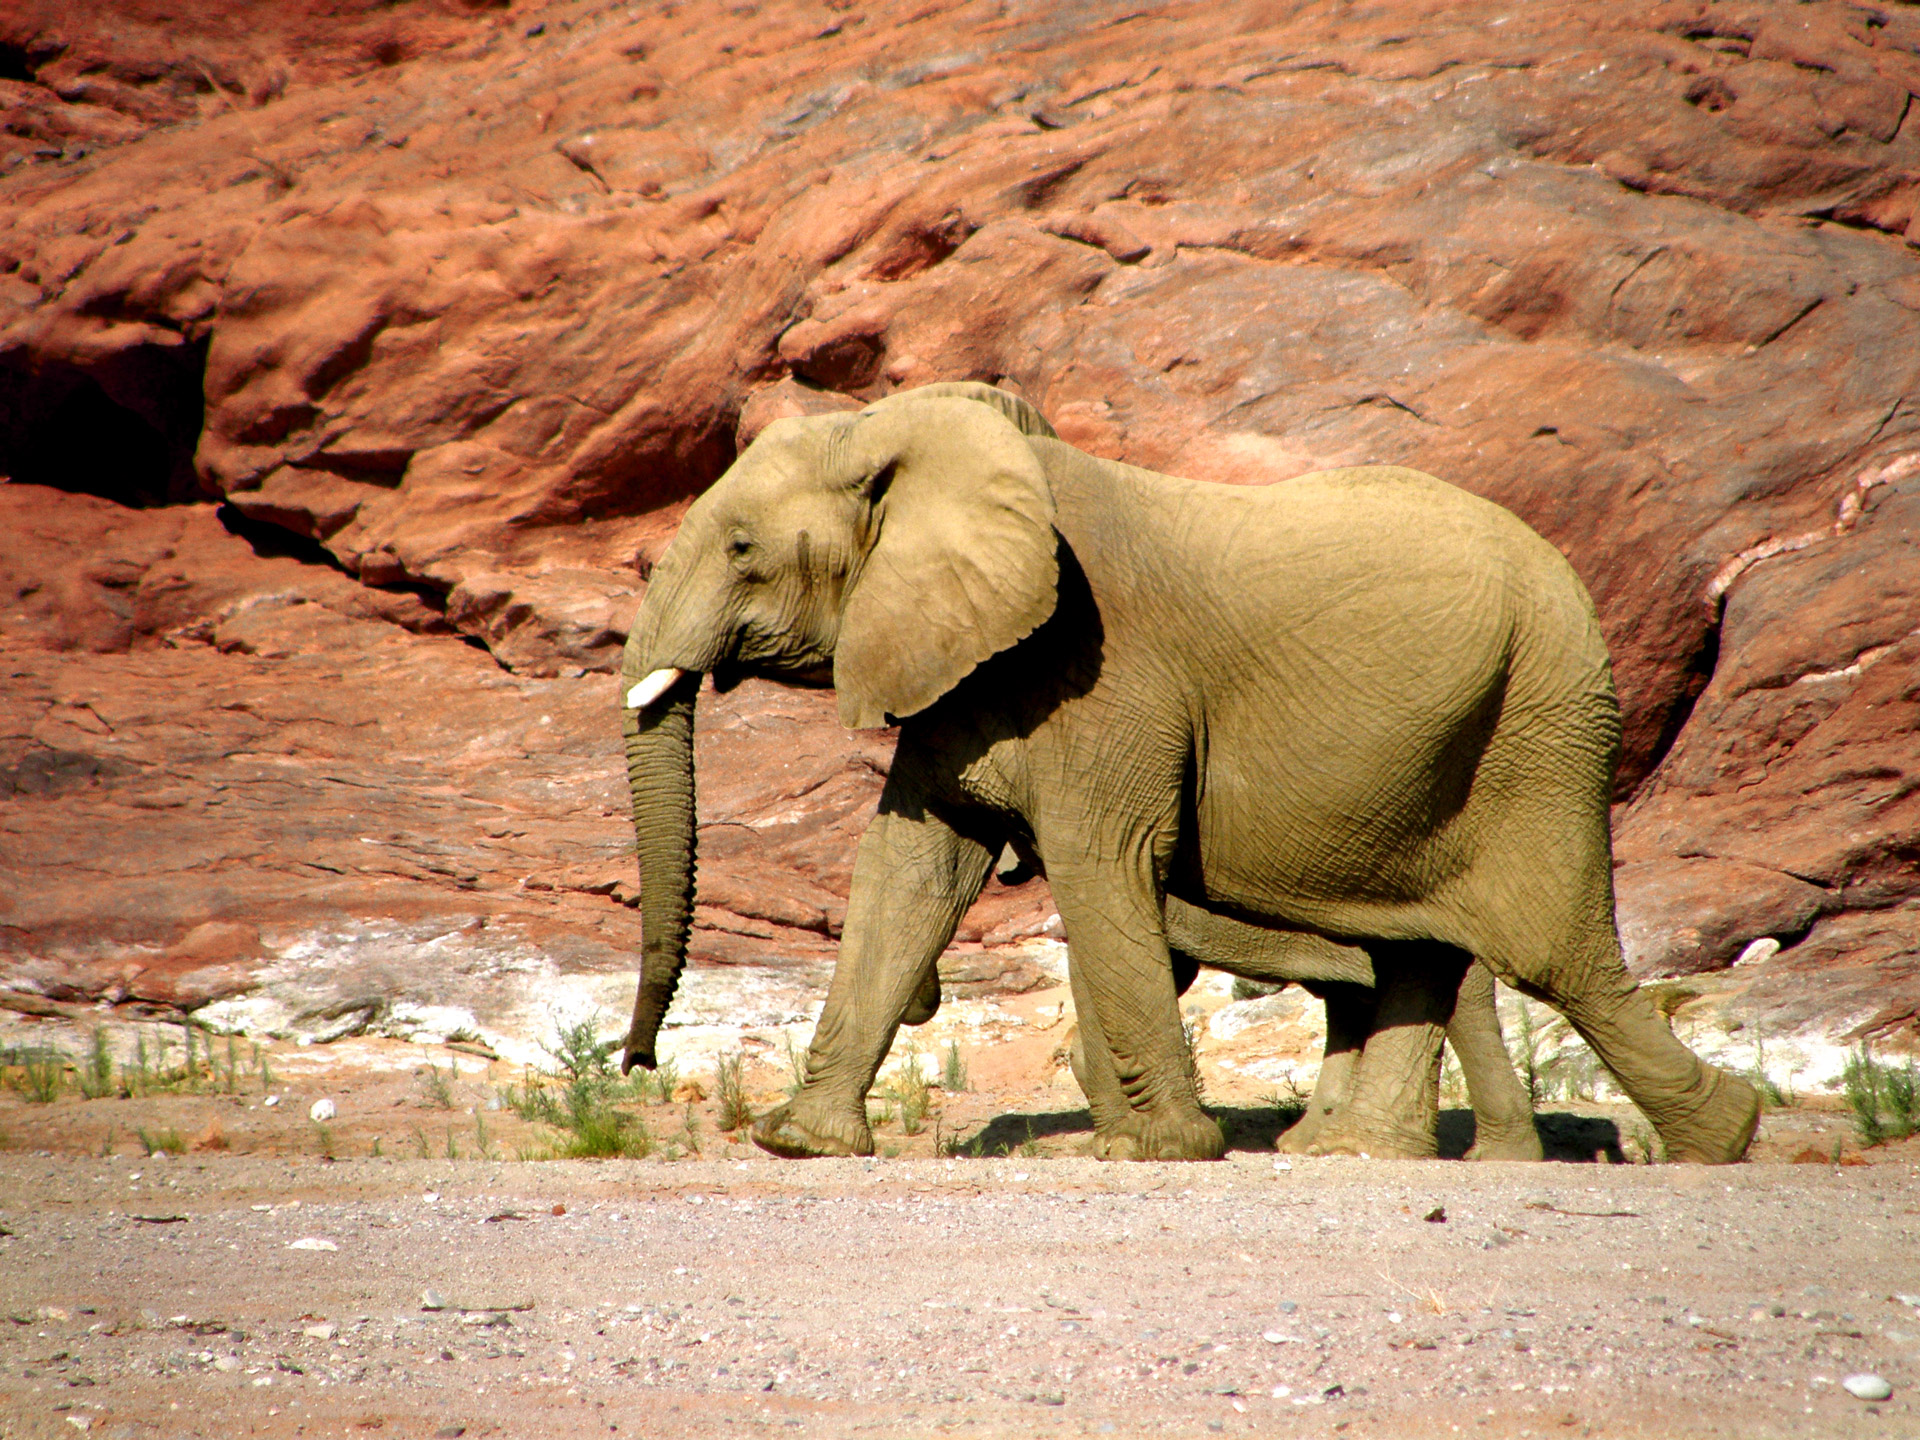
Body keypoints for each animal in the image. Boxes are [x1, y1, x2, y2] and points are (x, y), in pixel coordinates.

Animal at [614, 378, 1758, 1167]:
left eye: (743, 549)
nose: (635, 1064)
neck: (923, 442)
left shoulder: (1102, 670)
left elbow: (1101, 864)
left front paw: (1160, 1150)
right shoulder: (966, 667)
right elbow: (910, 871)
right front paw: (801, 1144)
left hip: (1542, 722)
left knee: (1548, 955)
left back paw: (1724, 1139)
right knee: (1425, 952)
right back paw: (1356, 1156)